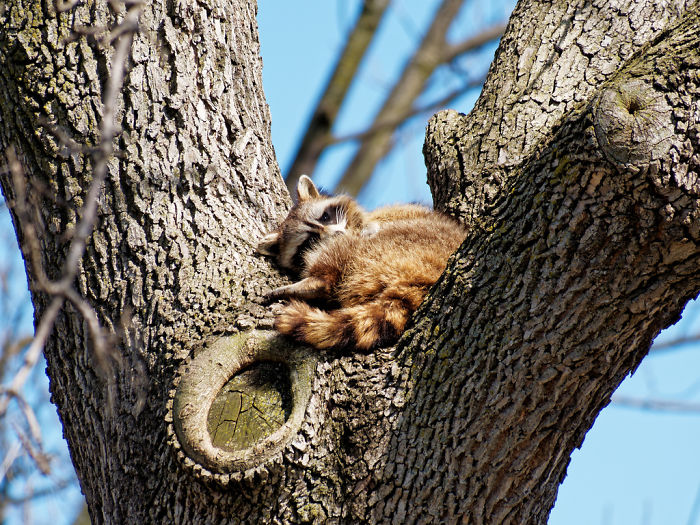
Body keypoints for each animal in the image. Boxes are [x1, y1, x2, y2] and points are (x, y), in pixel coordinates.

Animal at [257, 175, 467, 351]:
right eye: (310, 240)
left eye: (325, 217)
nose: (337, 233)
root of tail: (422, 275)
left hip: (403, 245)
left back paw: (316, 282)